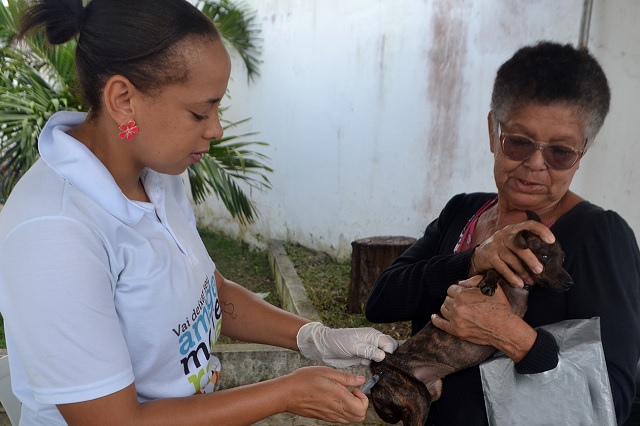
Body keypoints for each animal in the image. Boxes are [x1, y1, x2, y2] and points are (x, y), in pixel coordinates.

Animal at [368, 211, 572, 426]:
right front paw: (489, 282)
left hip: (430, 392)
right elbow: (493, 270)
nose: (570, 283)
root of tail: (376, 370)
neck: (517, 287)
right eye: (544, 256)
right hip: (417, 396)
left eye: (563, 258)